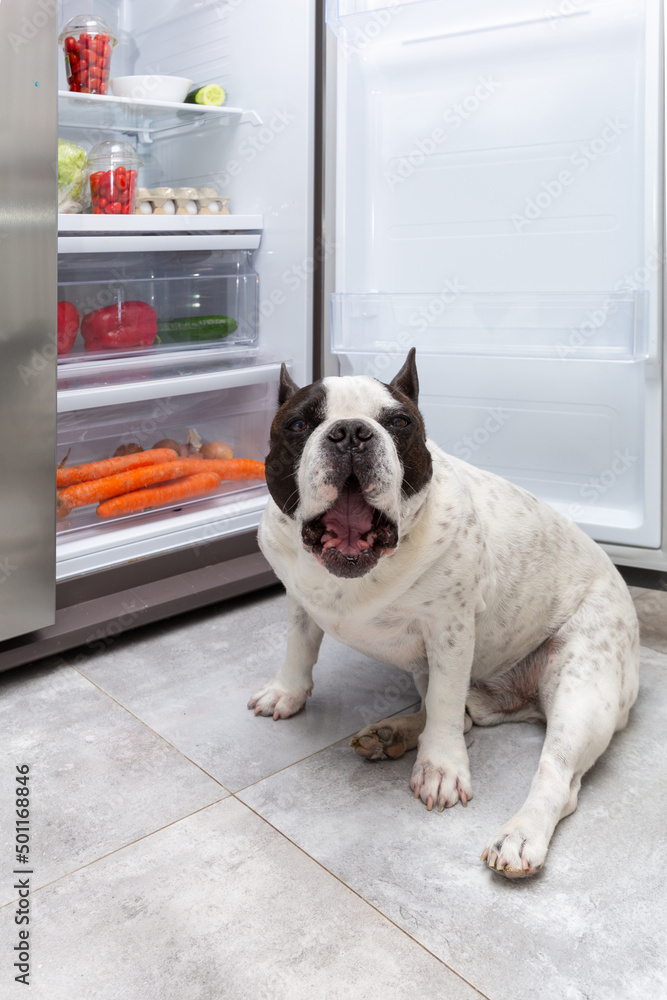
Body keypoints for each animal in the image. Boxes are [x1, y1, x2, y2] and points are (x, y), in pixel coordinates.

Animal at [248, 350, 640, 876]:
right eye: (297, 423)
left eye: (399, 422)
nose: (350, 432)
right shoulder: (299, 599)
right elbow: (300, 646)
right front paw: (286, 692)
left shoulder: (451, 632)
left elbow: (447, 703)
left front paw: (441, 768)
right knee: (459, 716)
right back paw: (392, 733)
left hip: (583, 692)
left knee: (554, 774)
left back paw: (520, 834)